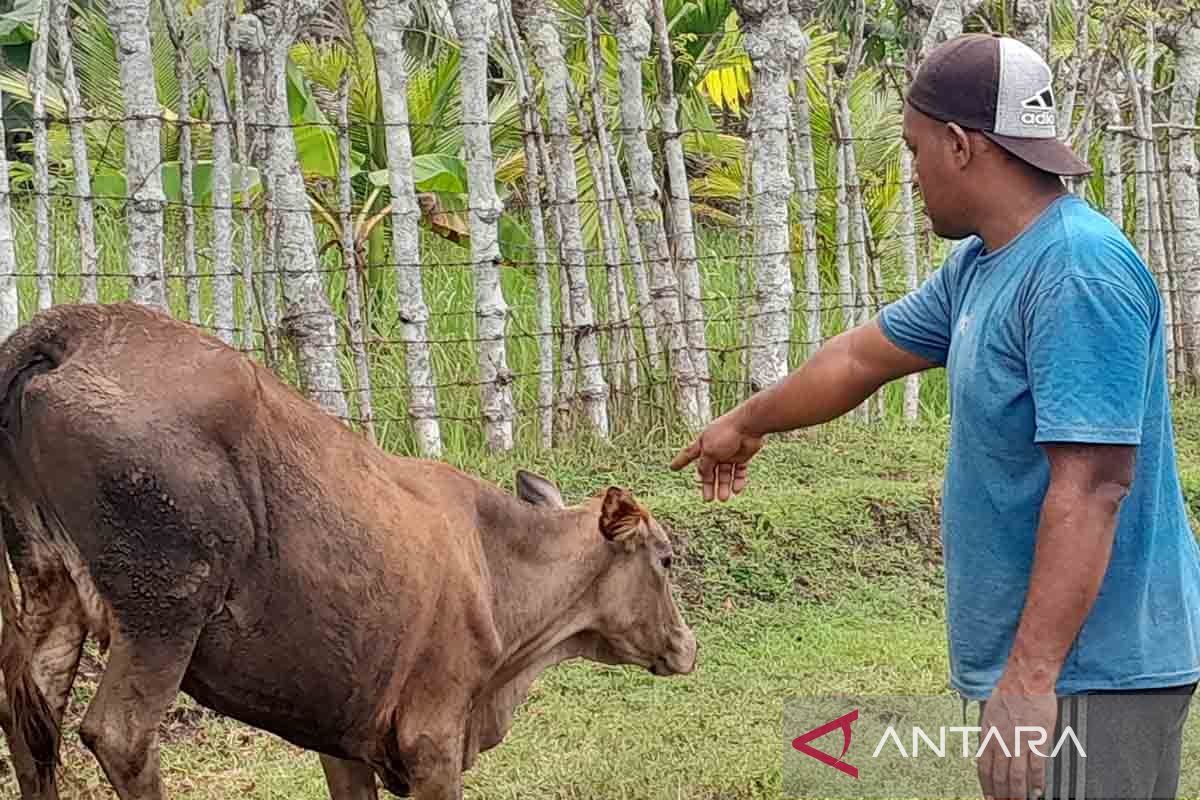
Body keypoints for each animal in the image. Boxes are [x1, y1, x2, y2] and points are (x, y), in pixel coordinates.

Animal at [0, 303, 700, 796]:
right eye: (666, 559)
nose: (686, 645)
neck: (498, 564)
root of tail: (69, 331)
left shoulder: (342, 737)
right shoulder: (432, 740)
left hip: (51, 594)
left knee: (30, 730)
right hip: (164, 611)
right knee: (118, 736)